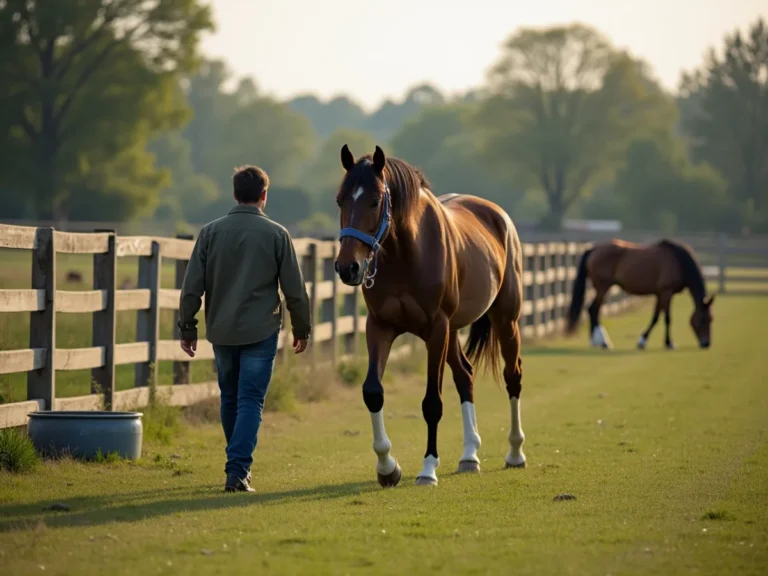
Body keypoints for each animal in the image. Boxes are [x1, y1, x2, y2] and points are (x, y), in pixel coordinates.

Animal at [332, 144, 526, 487]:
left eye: (375, 201)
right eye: (341, 200)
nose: (348, 268)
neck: (406, 253)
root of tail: (499, 216)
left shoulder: (436, 329)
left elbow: (432, 403)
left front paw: (427, 469)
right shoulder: (380, 327)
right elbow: (373, 392)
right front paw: (387, 467)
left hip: (505, 321)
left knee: (512, 376)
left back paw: (515, 453)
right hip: (453, 332)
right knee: (465, 376)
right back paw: (469, 455)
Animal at [565, 238, 715, 350]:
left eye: (711, 319)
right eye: (703, 320)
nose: (706, 343)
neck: (678, 261)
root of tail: (593, 249)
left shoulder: (660, 294)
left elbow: (655, 317)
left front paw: (645, 340)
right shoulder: (666, 292)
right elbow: (666, 318)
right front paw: (668, 343)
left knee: (592, 310)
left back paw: (595, 341)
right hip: (603, 287)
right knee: (593, 309)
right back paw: (603, 342)